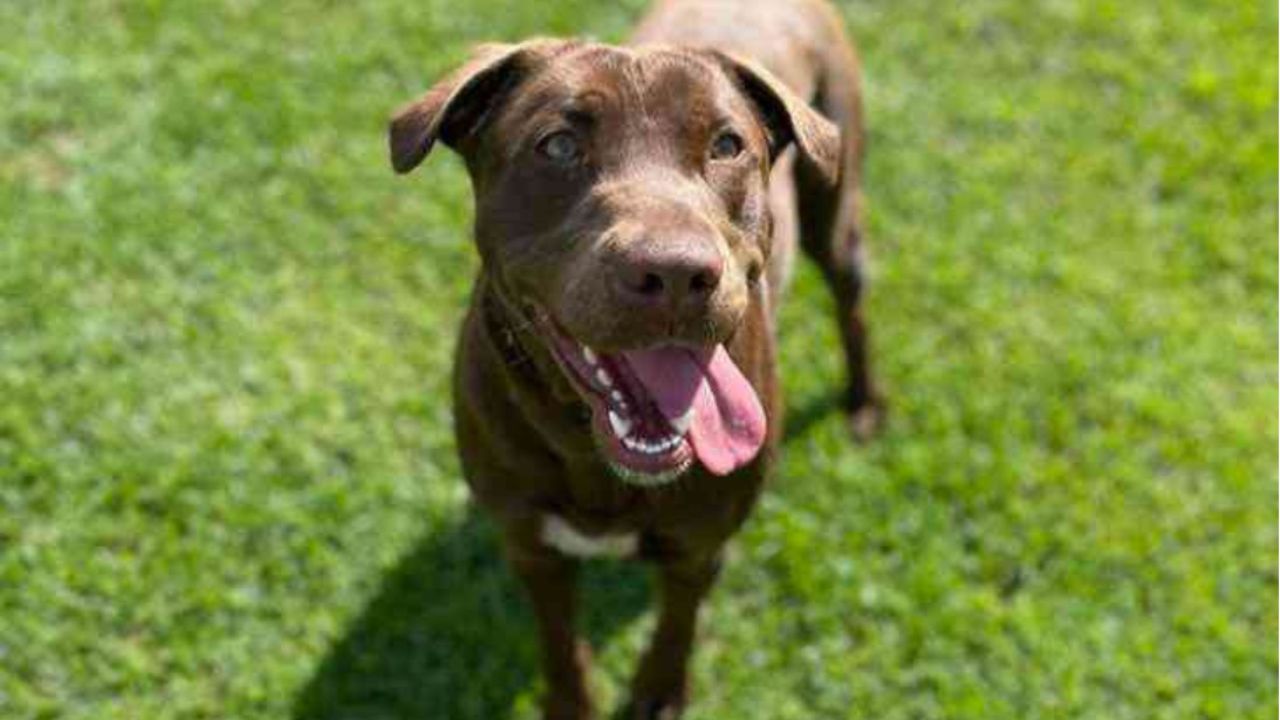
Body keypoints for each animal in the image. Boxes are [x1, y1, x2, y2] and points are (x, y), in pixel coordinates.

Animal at [381, 2, 880, 712]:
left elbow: (677, 625)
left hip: (833, 205)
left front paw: (659, 694)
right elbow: (560, 645)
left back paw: (864, 404)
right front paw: (570, 701)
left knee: (851, 300)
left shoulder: (700, 546)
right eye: (558, 145)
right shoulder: (530, 547)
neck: (596, 455)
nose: (675, 274)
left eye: (727, 145)